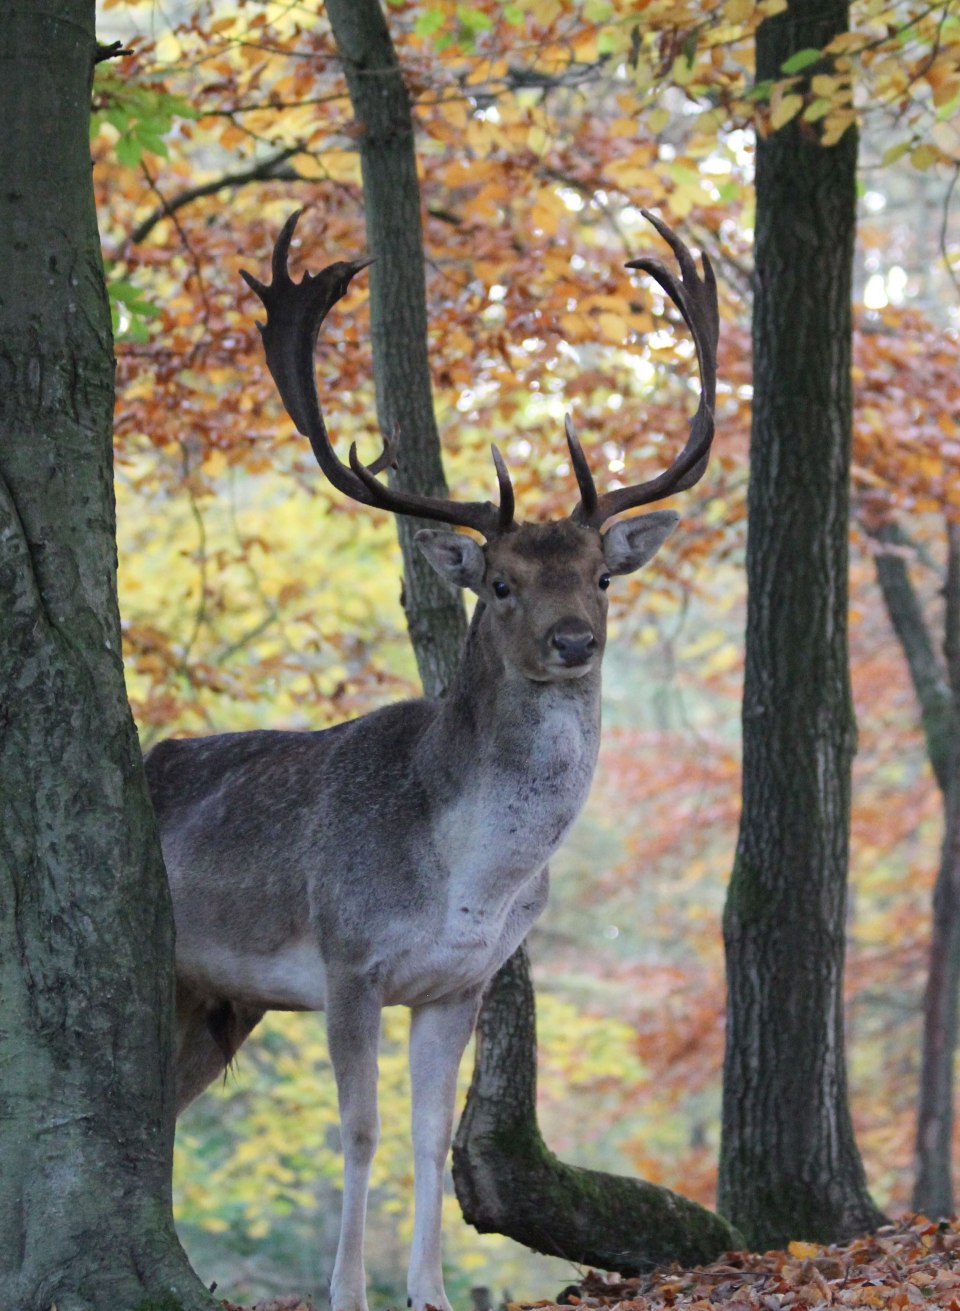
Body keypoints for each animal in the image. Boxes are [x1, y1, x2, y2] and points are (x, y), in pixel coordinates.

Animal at [145, 209, 718, 1311]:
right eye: (498, 582)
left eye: (600, 577)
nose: (575, 640)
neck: (468, 879)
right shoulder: (348, 954)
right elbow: (360, 1131)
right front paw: (345, 1292)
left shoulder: (459, 982)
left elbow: (427, 1140)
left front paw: (430, 1292)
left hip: (216, 1000)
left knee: (153, 1117)